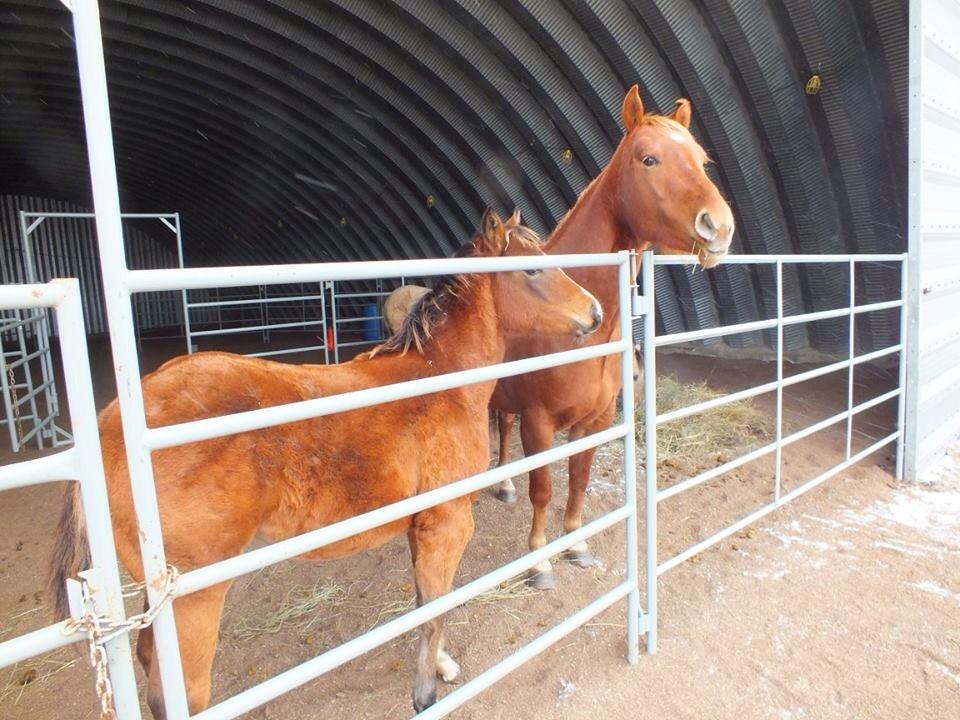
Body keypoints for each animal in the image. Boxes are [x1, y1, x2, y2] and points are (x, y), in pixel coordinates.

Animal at [47, 209, 602, 718]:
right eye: (532, 269)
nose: (594, 312)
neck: (438, 380)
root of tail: (110, 422)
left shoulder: (418, 526)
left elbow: (424, 602)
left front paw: (442, 666)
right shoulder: (448, 524)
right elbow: (434, 611)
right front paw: (426, 694)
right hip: (193, 600)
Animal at [491, 86, 735, 588]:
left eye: (702, 160)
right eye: (648, 159)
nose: (718, 226)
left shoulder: (597, 420)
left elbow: (579, 479)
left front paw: (575, 543)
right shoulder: (539, 421)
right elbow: (543, 487)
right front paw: (539, 560)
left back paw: (503, 484)